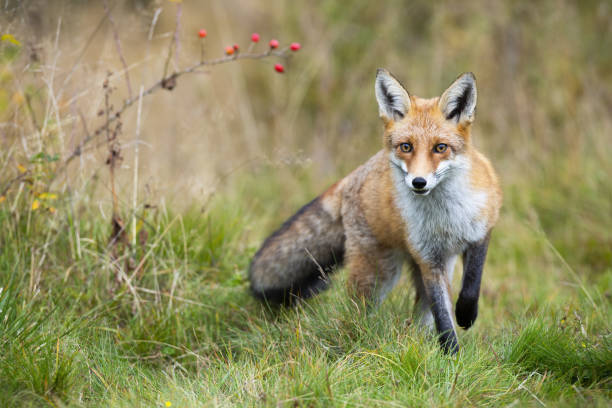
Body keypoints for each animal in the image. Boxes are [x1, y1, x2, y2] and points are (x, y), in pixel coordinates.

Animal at [249, 68, 502, 352]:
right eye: (406, 147)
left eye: (440, 148)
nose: (419, 182)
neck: (444, 216)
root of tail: (353, 175)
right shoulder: (427, 257)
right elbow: (443, 317)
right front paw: (451, 354)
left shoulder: (481, 231)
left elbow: (471, 285)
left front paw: (466, 316)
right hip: (378, 273)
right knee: (357, 310)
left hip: (431, 267)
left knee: (420, 313)